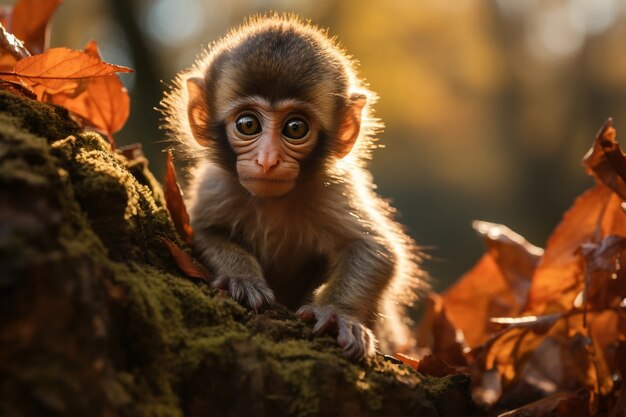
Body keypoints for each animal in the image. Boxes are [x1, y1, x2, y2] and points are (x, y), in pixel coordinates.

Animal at [163, 13, 422, 358]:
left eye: (295, 128)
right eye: (248, 124)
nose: (267, 160)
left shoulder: (333, 189)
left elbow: (376, 250)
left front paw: (338, 313)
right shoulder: (217, 185)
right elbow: (200, 230)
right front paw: (241, 276)